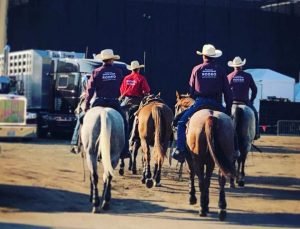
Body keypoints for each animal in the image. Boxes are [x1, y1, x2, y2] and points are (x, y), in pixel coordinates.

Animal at [176, 91, 237, 220]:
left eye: (176, 106)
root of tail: (211, 117)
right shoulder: (211, 162)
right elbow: (208, 180)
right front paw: (207, 203)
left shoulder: (190, 158)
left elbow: (193, 174)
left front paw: (193, 198)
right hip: (225, 157)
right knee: (221, 179)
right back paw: (221, 208)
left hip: (198, 159)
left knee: (200, 179)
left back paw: (202, 209)